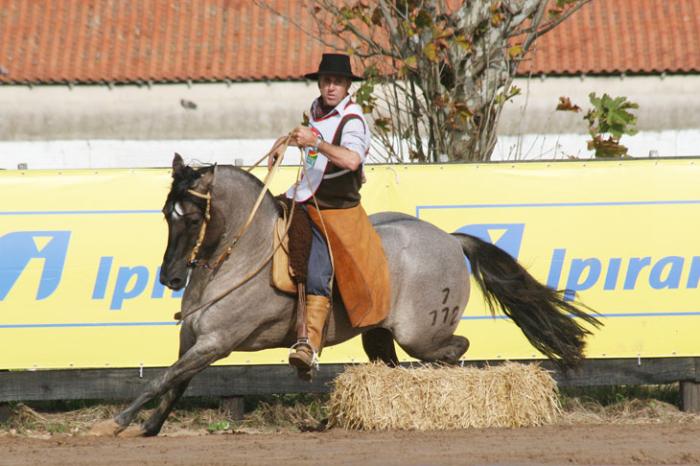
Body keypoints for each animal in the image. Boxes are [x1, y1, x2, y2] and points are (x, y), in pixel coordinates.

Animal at [89, 154, 600, 436]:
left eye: (193, 217)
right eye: (165, 214)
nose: (170, 277)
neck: (244, 252)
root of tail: (451, 240)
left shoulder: (217, 342)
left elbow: (160, 380)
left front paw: (115, 422)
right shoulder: (195, 341)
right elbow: (174, 382)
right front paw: (150, 427)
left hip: (421, 334)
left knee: (455, 349)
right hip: (378, 333)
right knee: (393, 368)